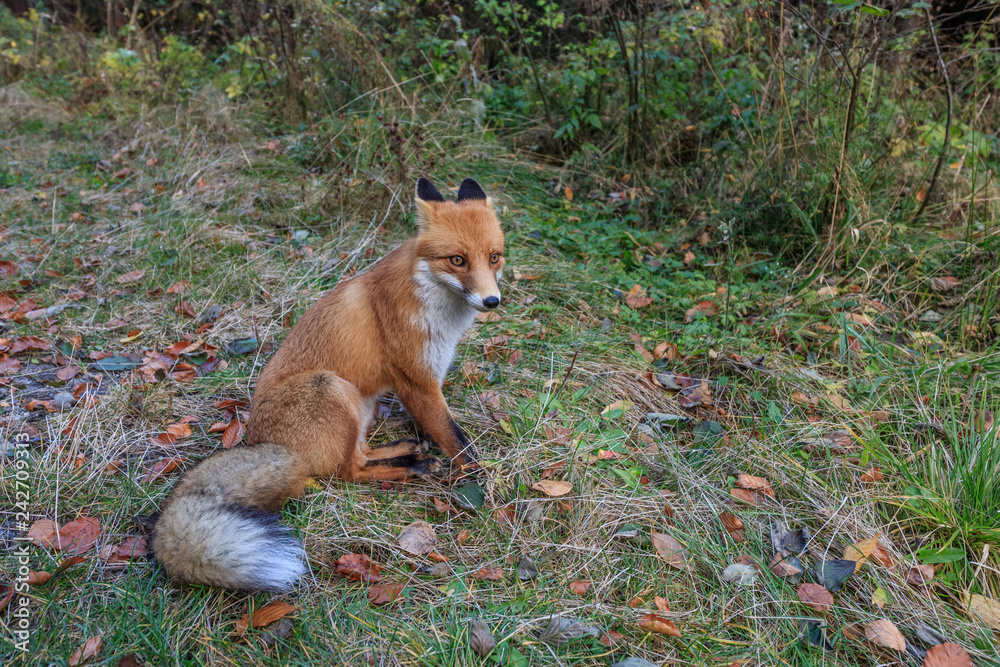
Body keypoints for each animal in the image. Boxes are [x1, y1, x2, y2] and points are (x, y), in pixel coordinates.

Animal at [151, 177, 504, 591]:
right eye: (457, 260)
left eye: (494, 257)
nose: (492, 301)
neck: (433, 302)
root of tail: (265, 442)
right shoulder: (417, 383)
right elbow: (459, 442)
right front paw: (484, 486)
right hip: (332, 387)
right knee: (349, 471)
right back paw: (415, 466)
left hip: (362, 404)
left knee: (361, 454)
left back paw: (406, 451)